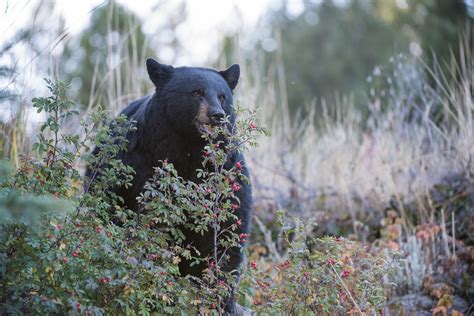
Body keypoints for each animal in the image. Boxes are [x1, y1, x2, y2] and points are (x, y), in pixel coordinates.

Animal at [89, 58, 252, 312]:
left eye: (222, 96)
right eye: (196, 92)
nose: (217, 115)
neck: (188, 151)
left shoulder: (227, 178)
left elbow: (226, 237)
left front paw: (222, 301)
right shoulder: (138, 167)